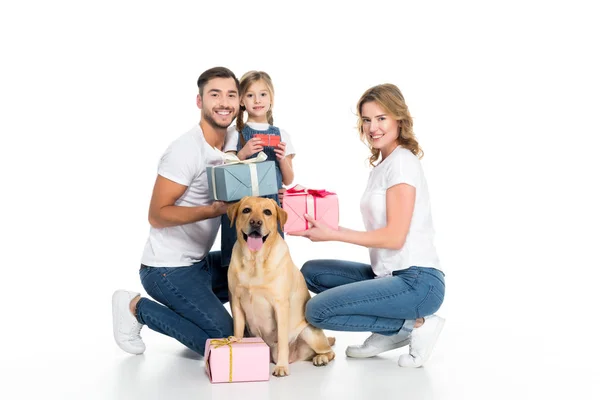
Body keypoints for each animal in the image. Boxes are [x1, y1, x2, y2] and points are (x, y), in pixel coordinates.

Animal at [227, 195, 336, 376]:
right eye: (246, 210)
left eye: (267, 212)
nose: (255, 222)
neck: (254, 262)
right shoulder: (236, 301)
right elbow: (237, 329)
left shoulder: (280, 305)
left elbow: (283, 339)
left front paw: (281, 367)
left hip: (309, 332)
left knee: (329, 351)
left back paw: (320, 358)